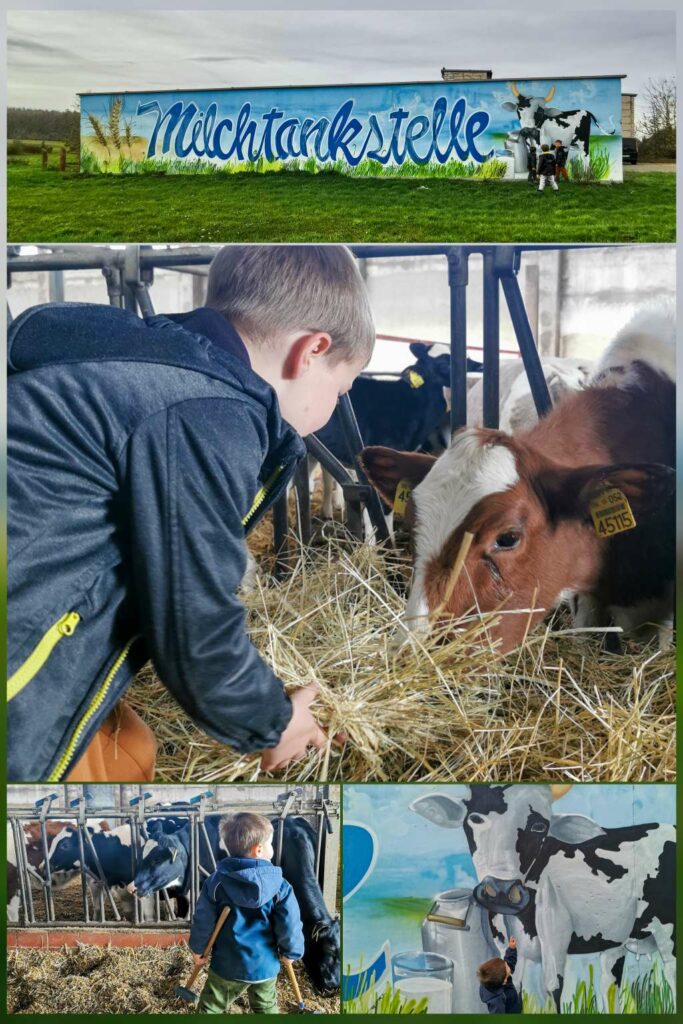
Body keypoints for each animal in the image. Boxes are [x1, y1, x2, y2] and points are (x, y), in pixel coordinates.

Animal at [413, 786, 675, 1011]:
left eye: (539, 826)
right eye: (475, 818)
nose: (501, 890)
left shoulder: (555, 934)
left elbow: (553, 988)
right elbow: (513, 984)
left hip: (668, 932)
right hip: (615, 940)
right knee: (610, 990)